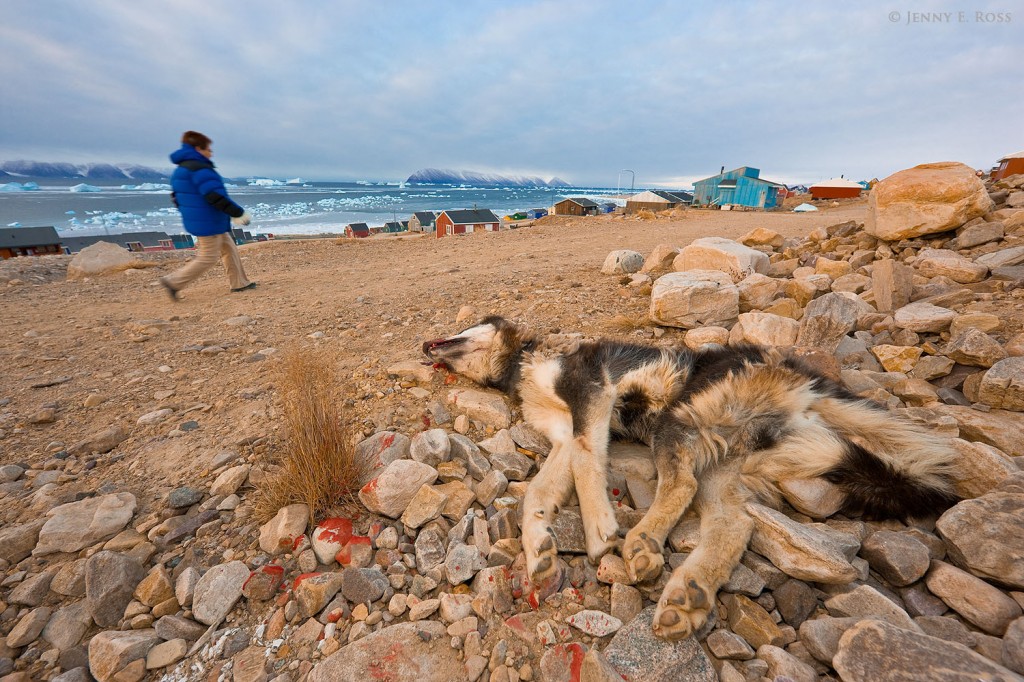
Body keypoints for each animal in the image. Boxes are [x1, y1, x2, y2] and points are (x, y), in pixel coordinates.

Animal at [419, 315, 954, 638]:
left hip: (682, 420)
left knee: (682, 485)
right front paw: (540, 550)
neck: (519, 365)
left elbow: (591, 460)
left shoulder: (591, 392)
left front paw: (598, 530)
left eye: (465, 325)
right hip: (727, 460)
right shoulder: (563, 435)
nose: (424, 342)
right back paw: (687, 593)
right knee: (733, 524)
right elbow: (536, 493)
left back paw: (643, 543)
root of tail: (809, 383)